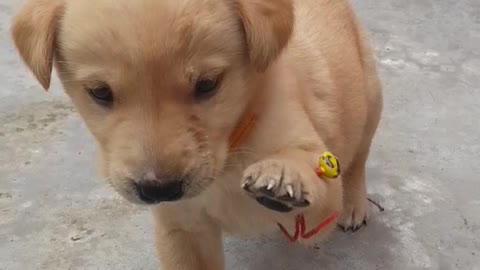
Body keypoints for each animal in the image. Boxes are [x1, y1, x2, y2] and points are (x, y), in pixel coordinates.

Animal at [11, 0, 382, 268]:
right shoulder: (182, 230)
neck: (231, 150)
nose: (158, 189)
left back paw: (354, 205)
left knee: (357, 161)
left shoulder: (315, 213)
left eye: (207, 84)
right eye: (100, 92)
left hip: (371, 99)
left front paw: (283, 174)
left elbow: (313, 174)